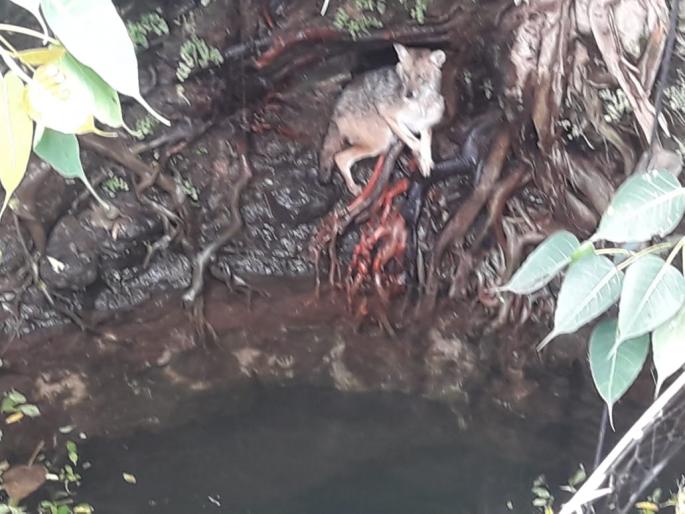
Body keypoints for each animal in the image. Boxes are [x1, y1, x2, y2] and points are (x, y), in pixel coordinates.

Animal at [319, 43, 446, 195]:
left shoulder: (425, 125)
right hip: (381, 140)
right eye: (406, 75)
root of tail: (335, 112)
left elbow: (426, 143)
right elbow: (416, 143)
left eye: (421, 77)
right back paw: (354, 188)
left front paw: (426, 161)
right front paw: (421, 159)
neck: (420, 104)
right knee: (340, 158)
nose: (408, 95)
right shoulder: (388, 115)